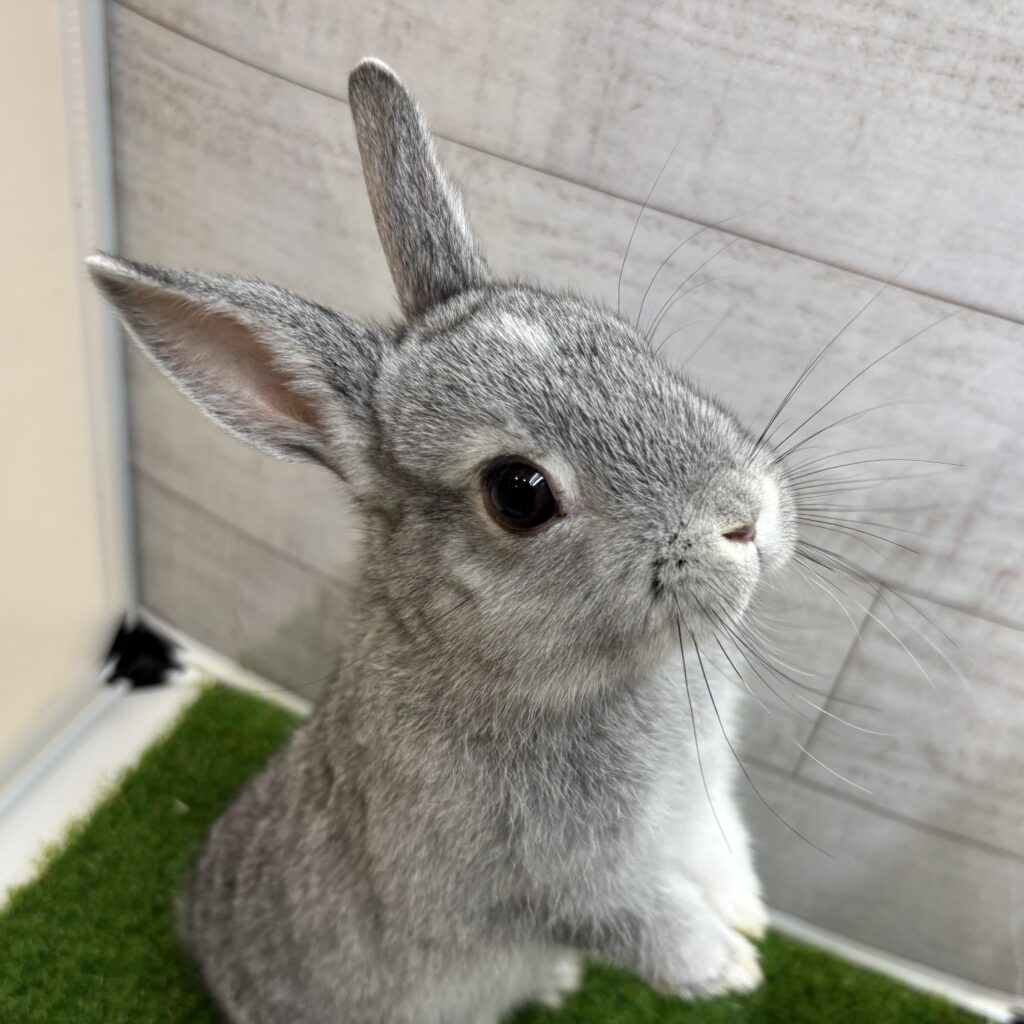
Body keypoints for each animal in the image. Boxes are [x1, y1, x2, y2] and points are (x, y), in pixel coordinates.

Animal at [87, 57, 796, 1024]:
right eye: (519, 493)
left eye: (625, 344)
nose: (745, 519)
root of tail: (198, 931)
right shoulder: (558, 876)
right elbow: (637, 919)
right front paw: (728, 968)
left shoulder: (701, 800)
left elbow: (718, 858)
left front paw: (747, 918)